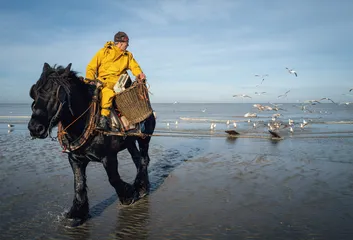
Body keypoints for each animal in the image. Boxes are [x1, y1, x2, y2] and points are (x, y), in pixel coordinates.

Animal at [27, 62, 154, 226]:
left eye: (55, 94)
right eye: (34, 93)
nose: (35, 128)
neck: (87, 120)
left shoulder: (109, 157)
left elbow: (113, 179)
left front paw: (128, 195)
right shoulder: (75, 159)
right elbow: (79, 184)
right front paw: (77, 213)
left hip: (144, 137)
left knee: (144, 159)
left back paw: (141, 187)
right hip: (129, 141)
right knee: (138, 160)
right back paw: (141, 185)